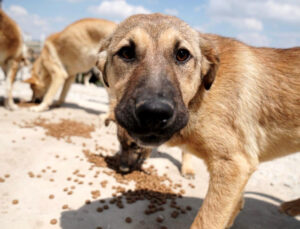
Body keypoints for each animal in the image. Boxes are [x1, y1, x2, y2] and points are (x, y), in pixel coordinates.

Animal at [96, 13, 300, 228]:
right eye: (126, 53)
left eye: (182, 55)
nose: (154, 113)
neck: (200, 95)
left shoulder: (234, 165)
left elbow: (206, 221)